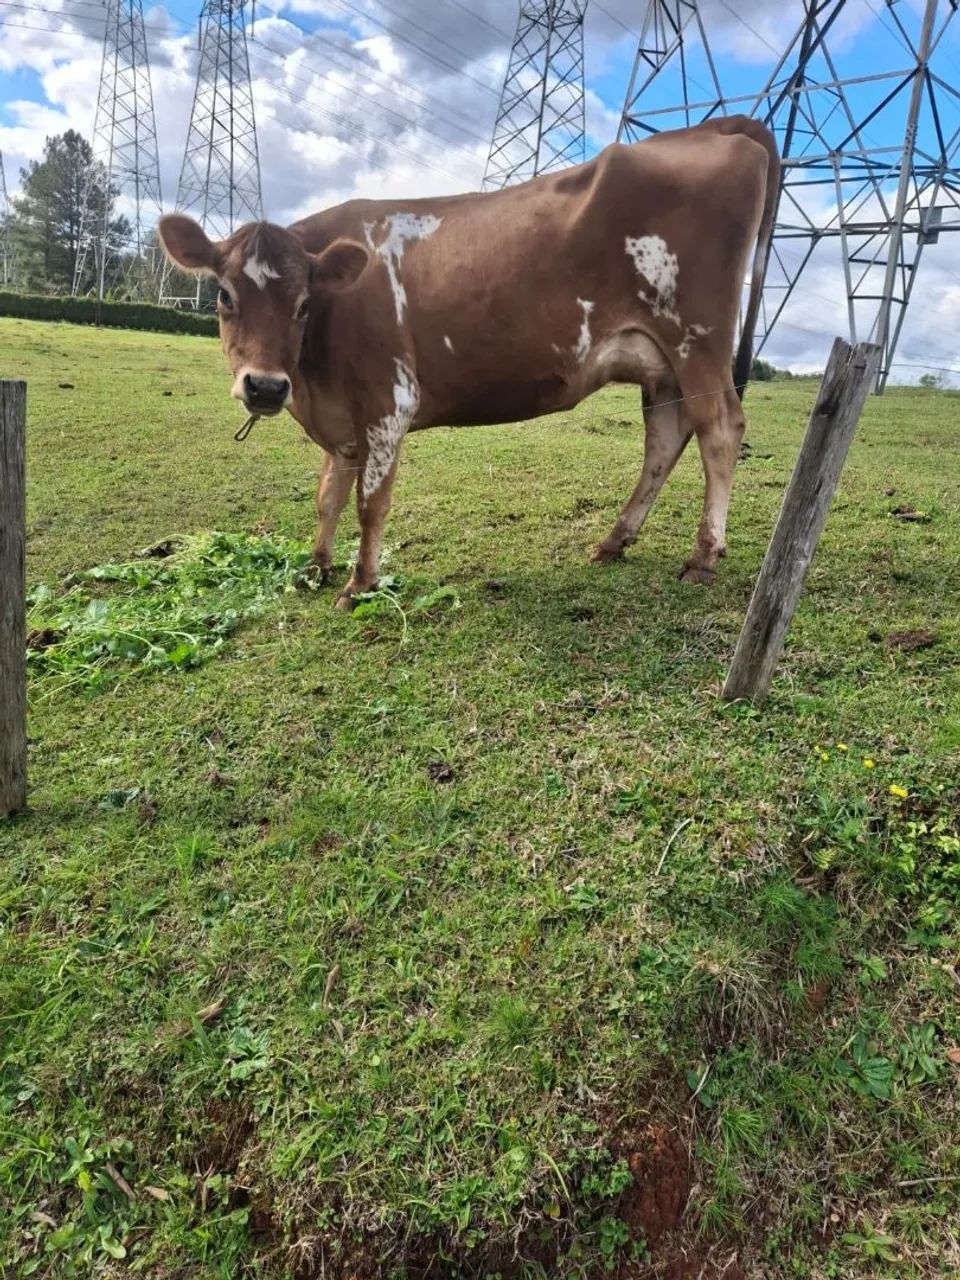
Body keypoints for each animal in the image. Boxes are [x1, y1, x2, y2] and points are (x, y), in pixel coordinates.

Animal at [158, 115, 779, 607]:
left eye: (304, 303)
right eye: (223, 296)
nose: (264, 388)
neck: (314, 380)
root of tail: (714, 127)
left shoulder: (388, 399)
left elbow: (370, 502)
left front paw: (359, 585)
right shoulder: (342, 416)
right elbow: (328, 495)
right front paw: (316, 568)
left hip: (697, 342)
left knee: (720, 430)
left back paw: (704, 556)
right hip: (662, 364)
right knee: (666, 438)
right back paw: (614, 540)